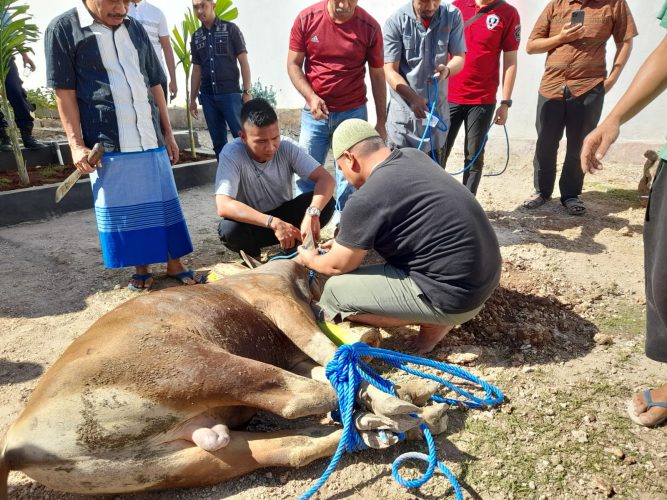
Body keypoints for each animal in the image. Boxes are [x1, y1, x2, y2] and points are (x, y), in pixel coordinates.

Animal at [2, 258, 448, 496]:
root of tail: (14, 444)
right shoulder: (278, 304)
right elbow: (328, 357)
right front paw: (399, 394)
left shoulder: (290, 351)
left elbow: (330, 367)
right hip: (196, 366)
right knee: (297, 398)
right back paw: (404, 414)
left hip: (182, 463)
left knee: (293, 446)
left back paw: (384, 427)